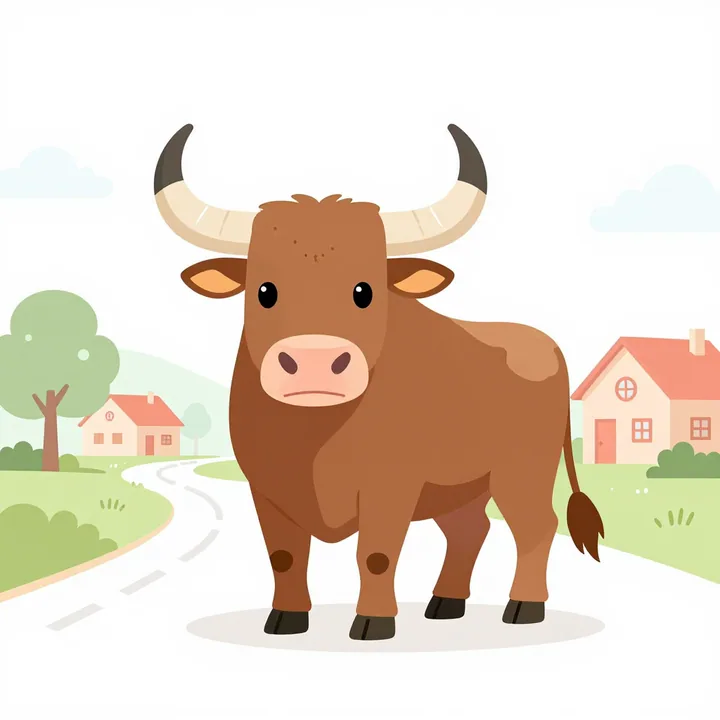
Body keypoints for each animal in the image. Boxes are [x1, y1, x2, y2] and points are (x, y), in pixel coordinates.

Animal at [153, 123, 604, 641]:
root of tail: (542, 343)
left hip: (522, 472)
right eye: (264, 290)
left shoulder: (391, 485)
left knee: (535, 527)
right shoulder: (266, 487)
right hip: (461, 486)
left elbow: (375, 555)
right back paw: (445, 602)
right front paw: (286, 617)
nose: (313, 362)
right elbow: (284, 556)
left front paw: (373, 620)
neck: (314, 441)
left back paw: (524, 605)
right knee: (470, 530)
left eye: (364, 290)